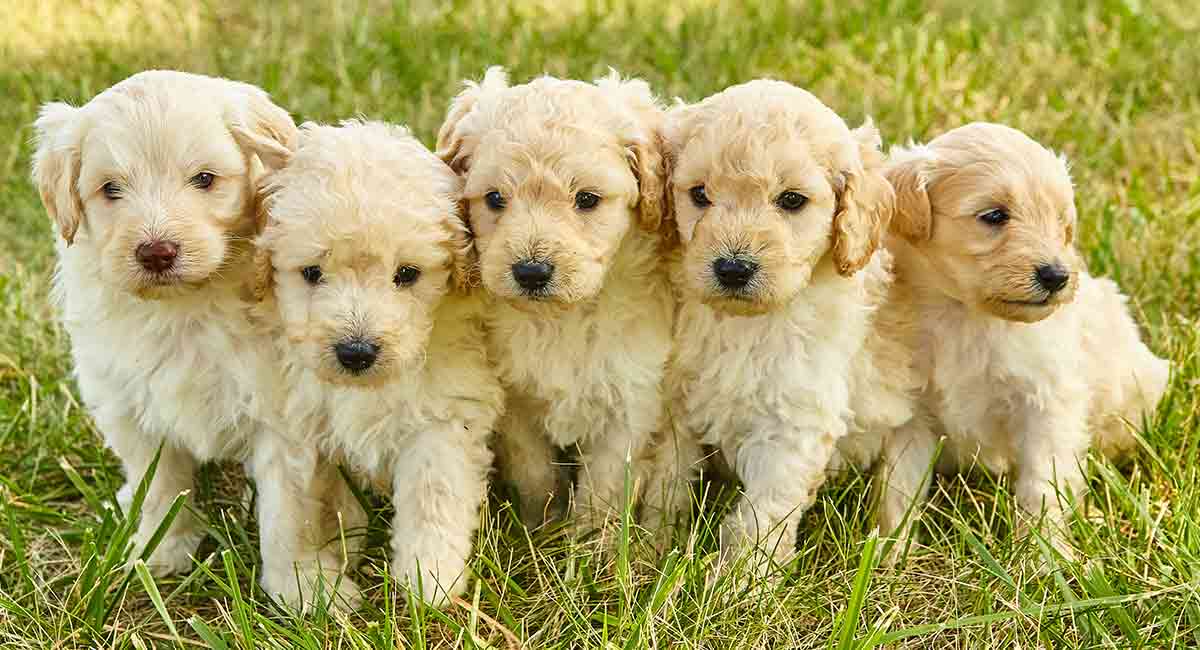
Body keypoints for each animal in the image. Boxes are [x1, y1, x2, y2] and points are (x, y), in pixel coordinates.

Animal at [30, 68, 350, 609]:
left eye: (204, 179)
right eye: (111, 189)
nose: (156, 251)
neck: (185, 307)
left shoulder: (283, 414)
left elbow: (288, 511)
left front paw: (304, 587)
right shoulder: (129, 406)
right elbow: (158, 485)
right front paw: (159, 550)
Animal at [243, 121, 501, 606]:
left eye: (407, 274)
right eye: (312, 273)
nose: (356, 352)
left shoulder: (443, 415)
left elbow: (433, 493)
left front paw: (429, 579)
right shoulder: (291, 418)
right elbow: (290, 507)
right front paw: (305, 585)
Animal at [436, 67, 676, 534]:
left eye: (587, 199)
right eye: (495, 198)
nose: (530, 272)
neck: (560, 317)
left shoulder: (630, 403)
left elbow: (603, 490)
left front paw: (591, 544)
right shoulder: (515, 403)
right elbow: (535, 475)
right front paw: (541, 530)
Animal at [652, 80, 912, 570]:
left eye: (791, 200)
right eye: (699, 194)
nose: (733, 269)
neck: (746, 324)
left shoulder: (793, 424)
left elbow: (760, 518)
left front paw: (739, 580)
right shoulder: (678, 404)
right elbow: (665, 481)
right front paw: (650, 547)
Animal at [873, 123, 1171, 561]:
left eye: (1061, 224)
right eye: (995, 216)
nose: (1057, 276)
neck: (967, 316)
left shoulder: (1047, 403)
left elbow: (1042, 484)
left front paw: (1044, 559)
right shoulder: (911, 413)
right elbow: (899, 489)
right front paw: (889, 556)